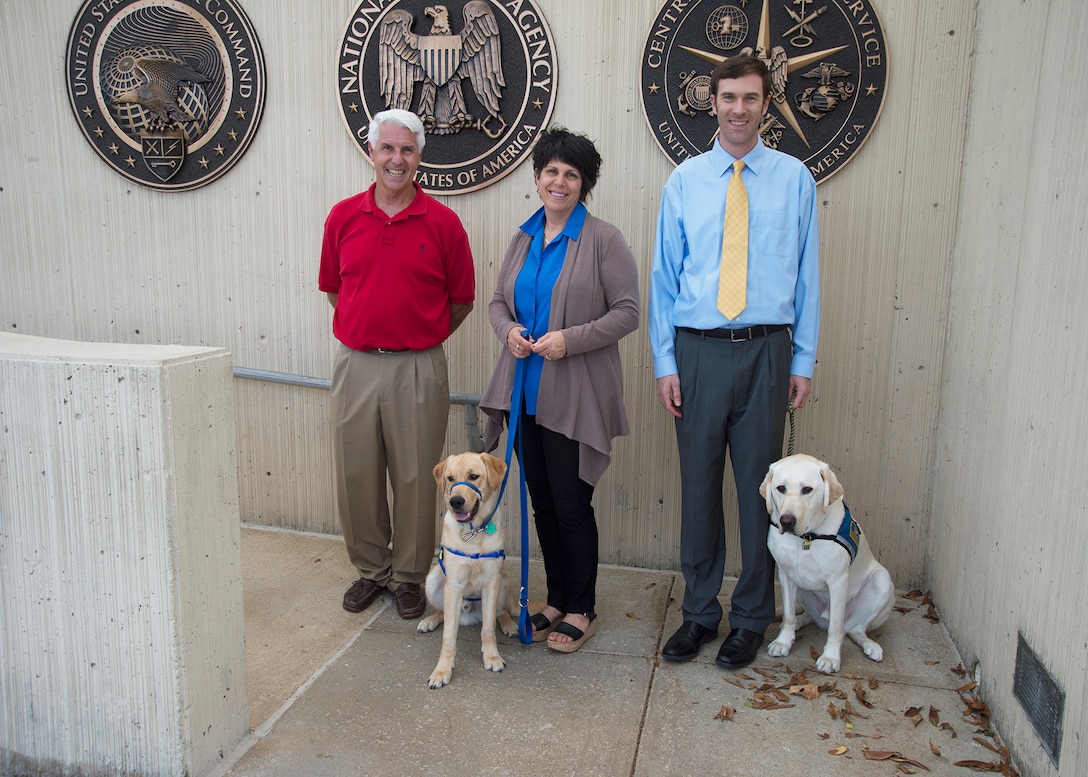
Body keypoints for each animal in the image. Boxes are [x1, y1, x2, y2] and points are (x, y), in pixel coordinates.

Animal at [415, 450, 517, 687]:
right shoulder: (454, 585)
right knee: (444, 612)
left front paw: (492, 657)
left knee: (501, 612)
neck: (473, 531)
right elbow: (448, 637)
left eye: (473, 476)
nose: (456, 501)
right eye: (450, 478)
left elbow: (488, 628)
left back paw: (509, 624)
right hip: (433, 580)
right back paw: (430, 621)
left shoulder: (491, 582)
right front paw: (442, 670)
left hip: (504, 581)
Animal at [765, 454, 892, 670]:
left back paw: (871, 646)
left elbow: (836, 627)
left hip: (882, 581)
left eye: (807, 489)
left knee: (854, 630)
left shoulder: (838, 580)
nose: (787, 521)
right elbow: (789, 614)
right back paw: (794, 624)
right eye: (780, 488)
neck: (806, 537)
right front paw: (783, 642)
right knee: (807, 616)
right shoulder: (785, 574)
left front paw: (831, 657)